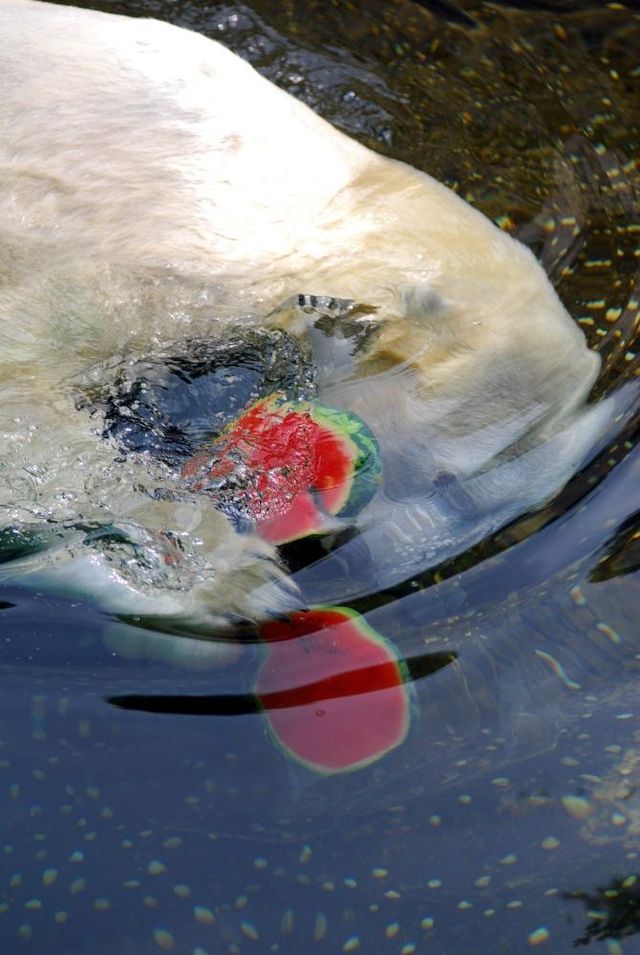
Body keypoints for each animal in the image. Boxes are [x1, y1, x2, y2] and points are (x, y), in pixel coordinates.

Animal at [0, 0, 610, 662]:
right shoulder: (100, 257)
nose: (366, 566)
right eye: (443, 480)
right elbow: (27, 432)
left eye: (481, 508)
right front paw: (232, 579)